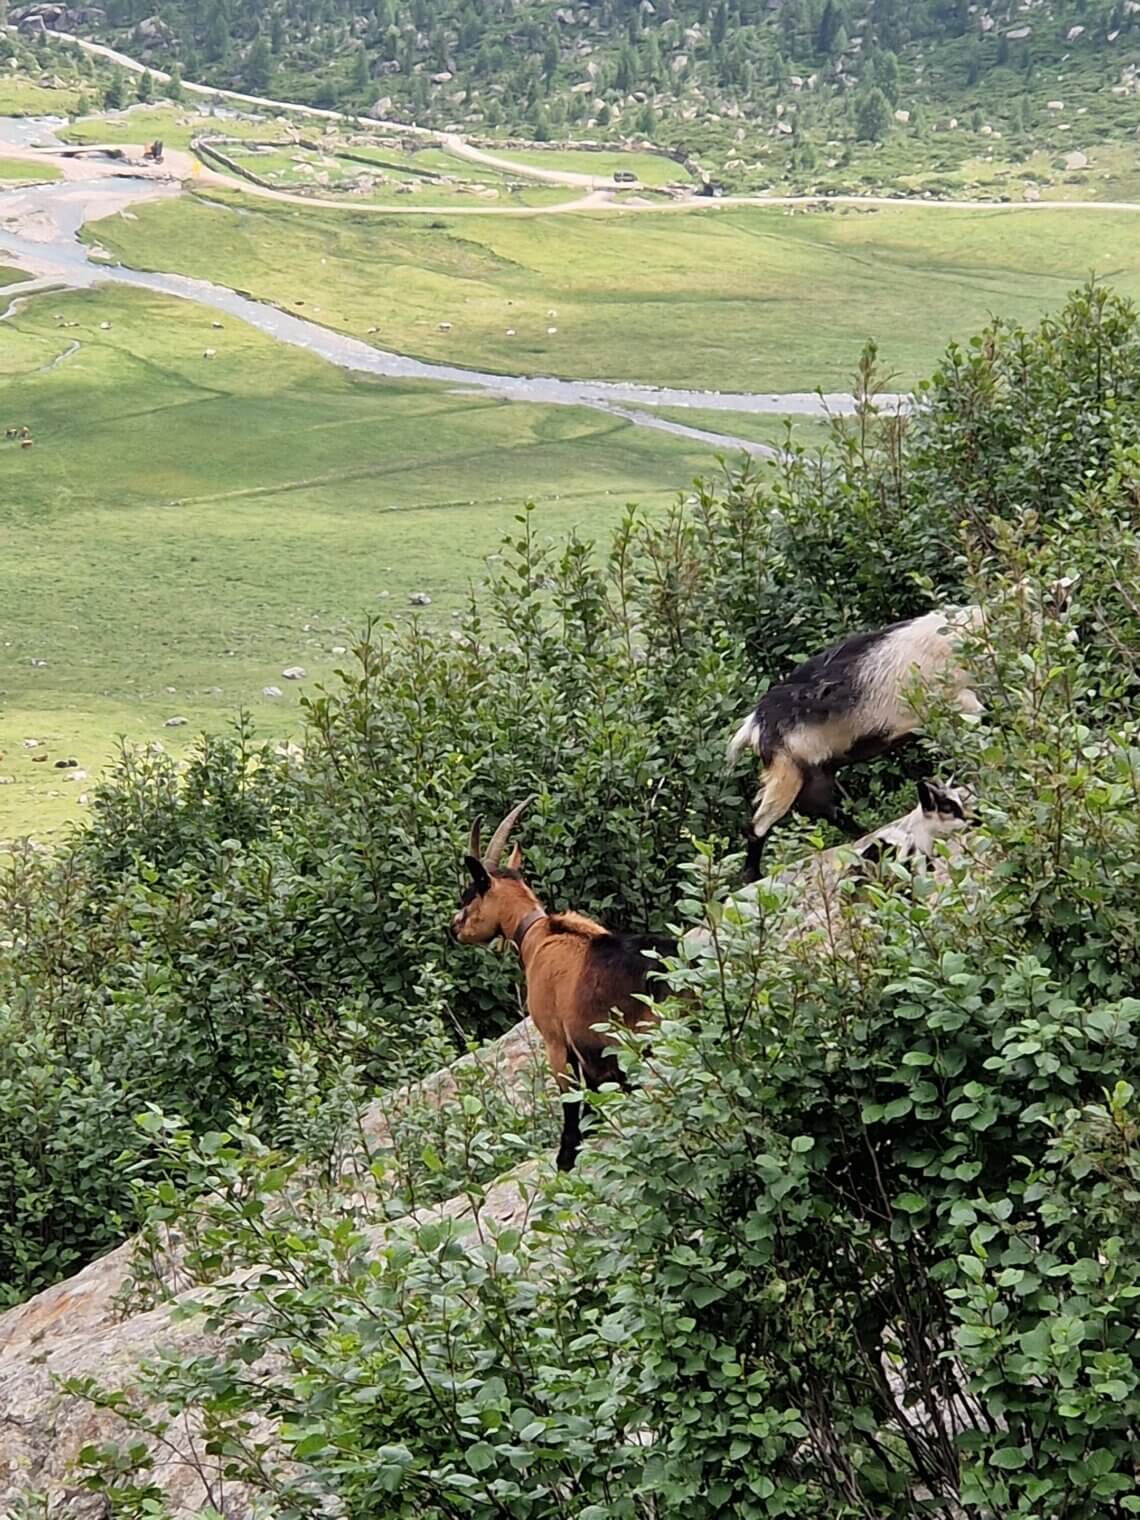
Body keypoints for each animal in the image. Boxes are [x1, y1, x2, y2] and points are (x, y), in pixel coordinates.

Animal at [449, 802, 674, 1167]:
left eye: (469, 896)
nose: (453, 928)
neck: (539, 934)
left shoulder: (555, 1040)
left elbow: (571, 1102)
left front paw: (565, 1157)